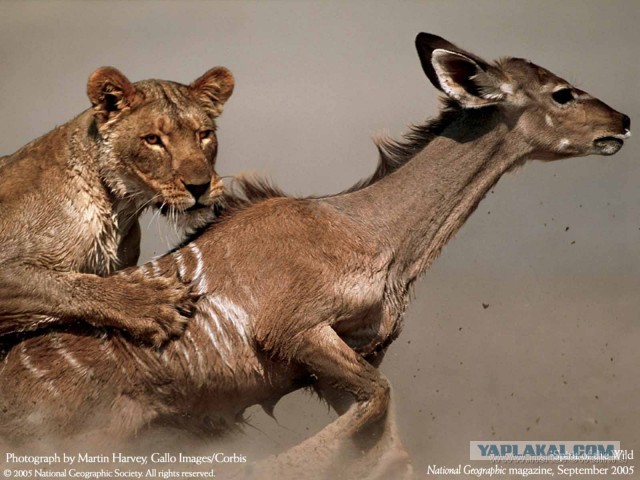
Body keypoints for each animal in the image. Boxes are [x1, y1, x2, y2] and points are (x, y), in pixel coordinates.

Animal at [0, 32, 632, 476]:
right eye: (562, 93)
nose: (622, 121)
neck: (366, 228)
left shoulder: (338, 365)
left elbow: (385, 431)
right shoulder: (299, 333)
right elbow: (378, 407)